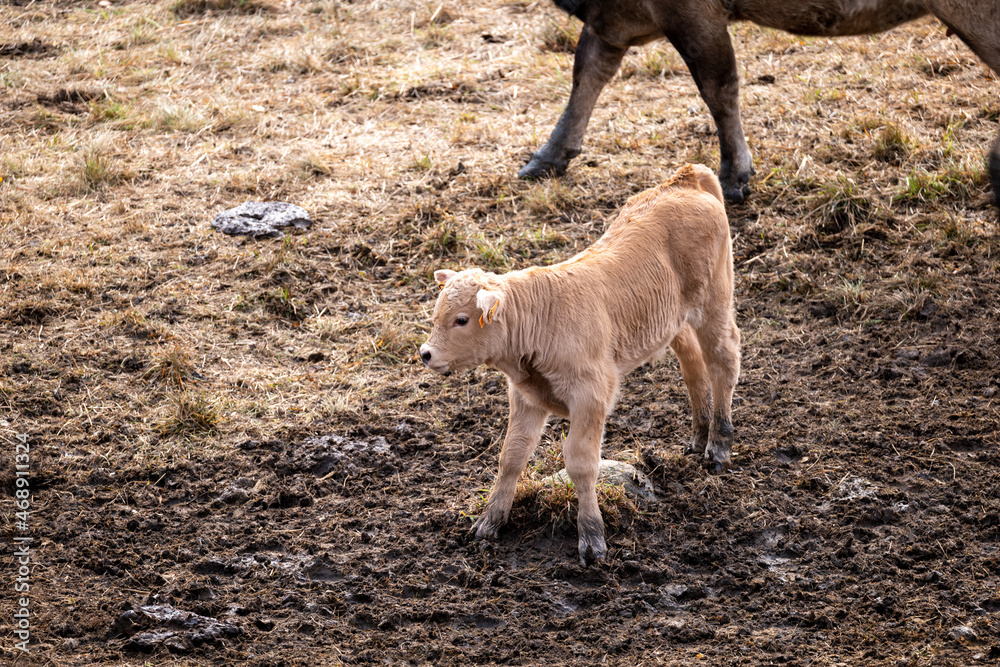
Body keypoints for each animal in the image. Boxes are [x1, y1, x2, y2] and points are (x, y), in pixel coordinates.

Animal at [419, 164, 741, 563]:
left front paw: (592, 537)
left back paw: (718, 444)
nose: (425, 353)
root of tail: (684, 178)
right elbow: (512, 455)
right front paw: (490, 520)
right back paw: (698, 435)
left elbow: (580, 462)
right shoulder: (526, 397)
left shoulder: (592, 395)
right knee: (693, 365)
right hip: (674, 320)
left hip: (714, 300)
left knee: (723, 359)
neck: (540, 319)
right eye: (436, 314)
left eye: (461, 320)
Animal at [519, 0, 1000, 206]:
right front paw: (547, 157)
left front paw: (734, 175)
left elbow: (719, 87)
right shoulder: (614, 18)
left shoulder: (692, 14)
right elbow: (587, 73)